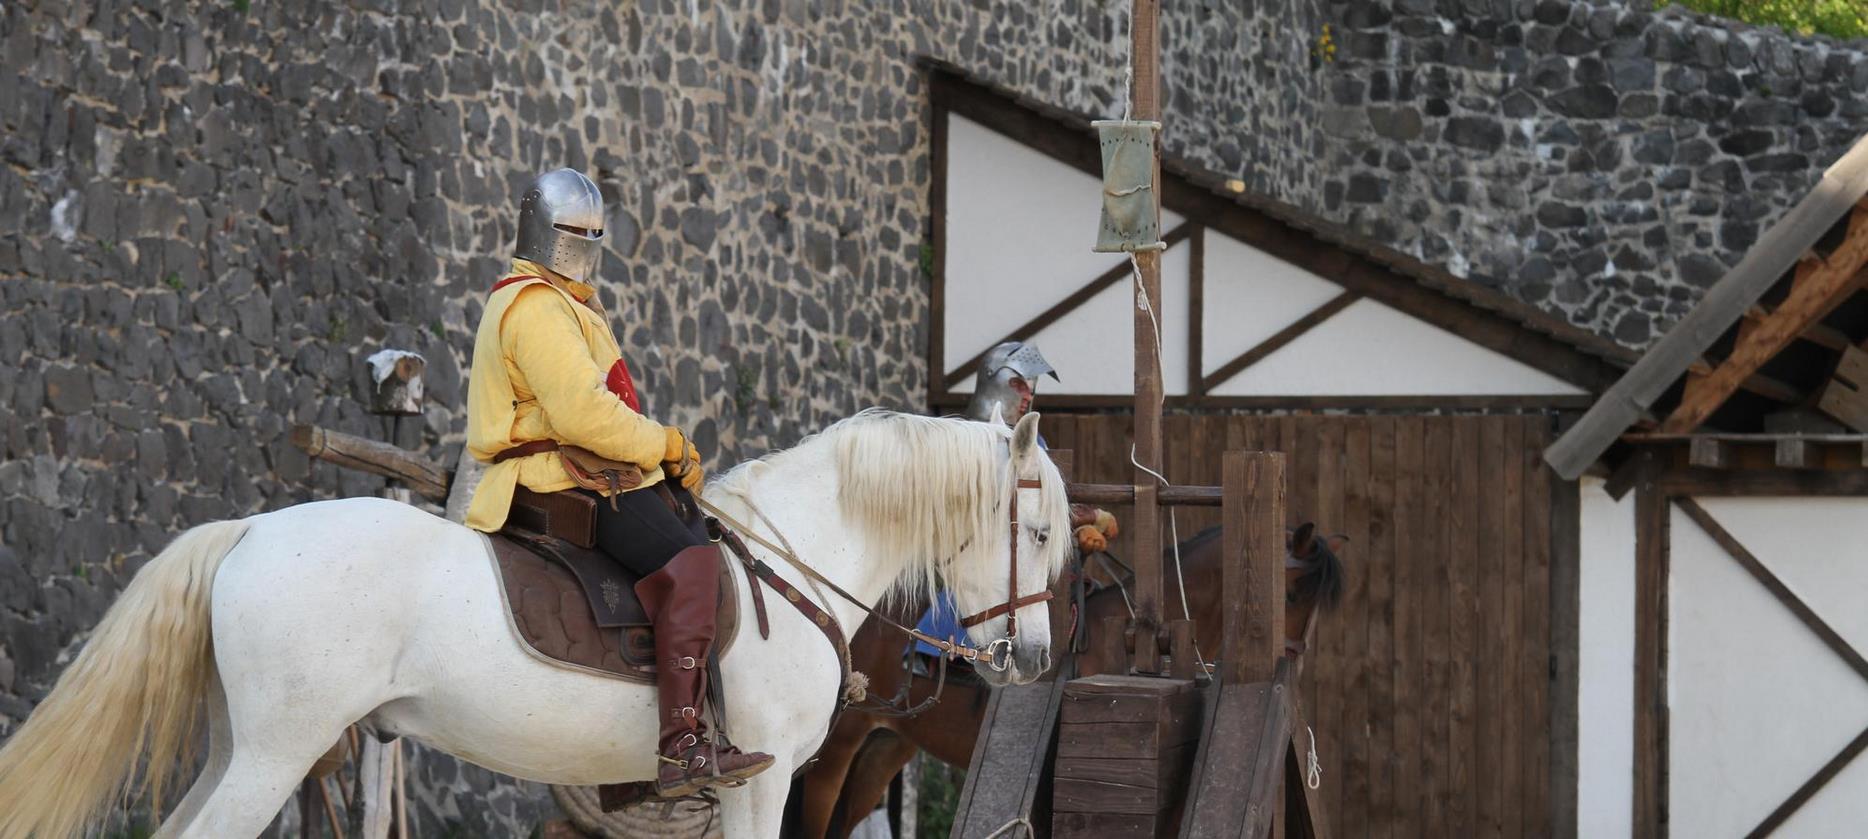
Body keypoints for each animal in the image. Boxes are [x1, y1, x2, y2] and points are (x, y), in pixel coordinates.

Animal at [0, 409, 1068, 833]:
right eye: (1039, 528)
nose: (1029, 658)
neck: (797, 554)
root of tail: (252, 528)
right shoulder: (759, 782)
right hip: (276, 753)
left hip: (242, 748)